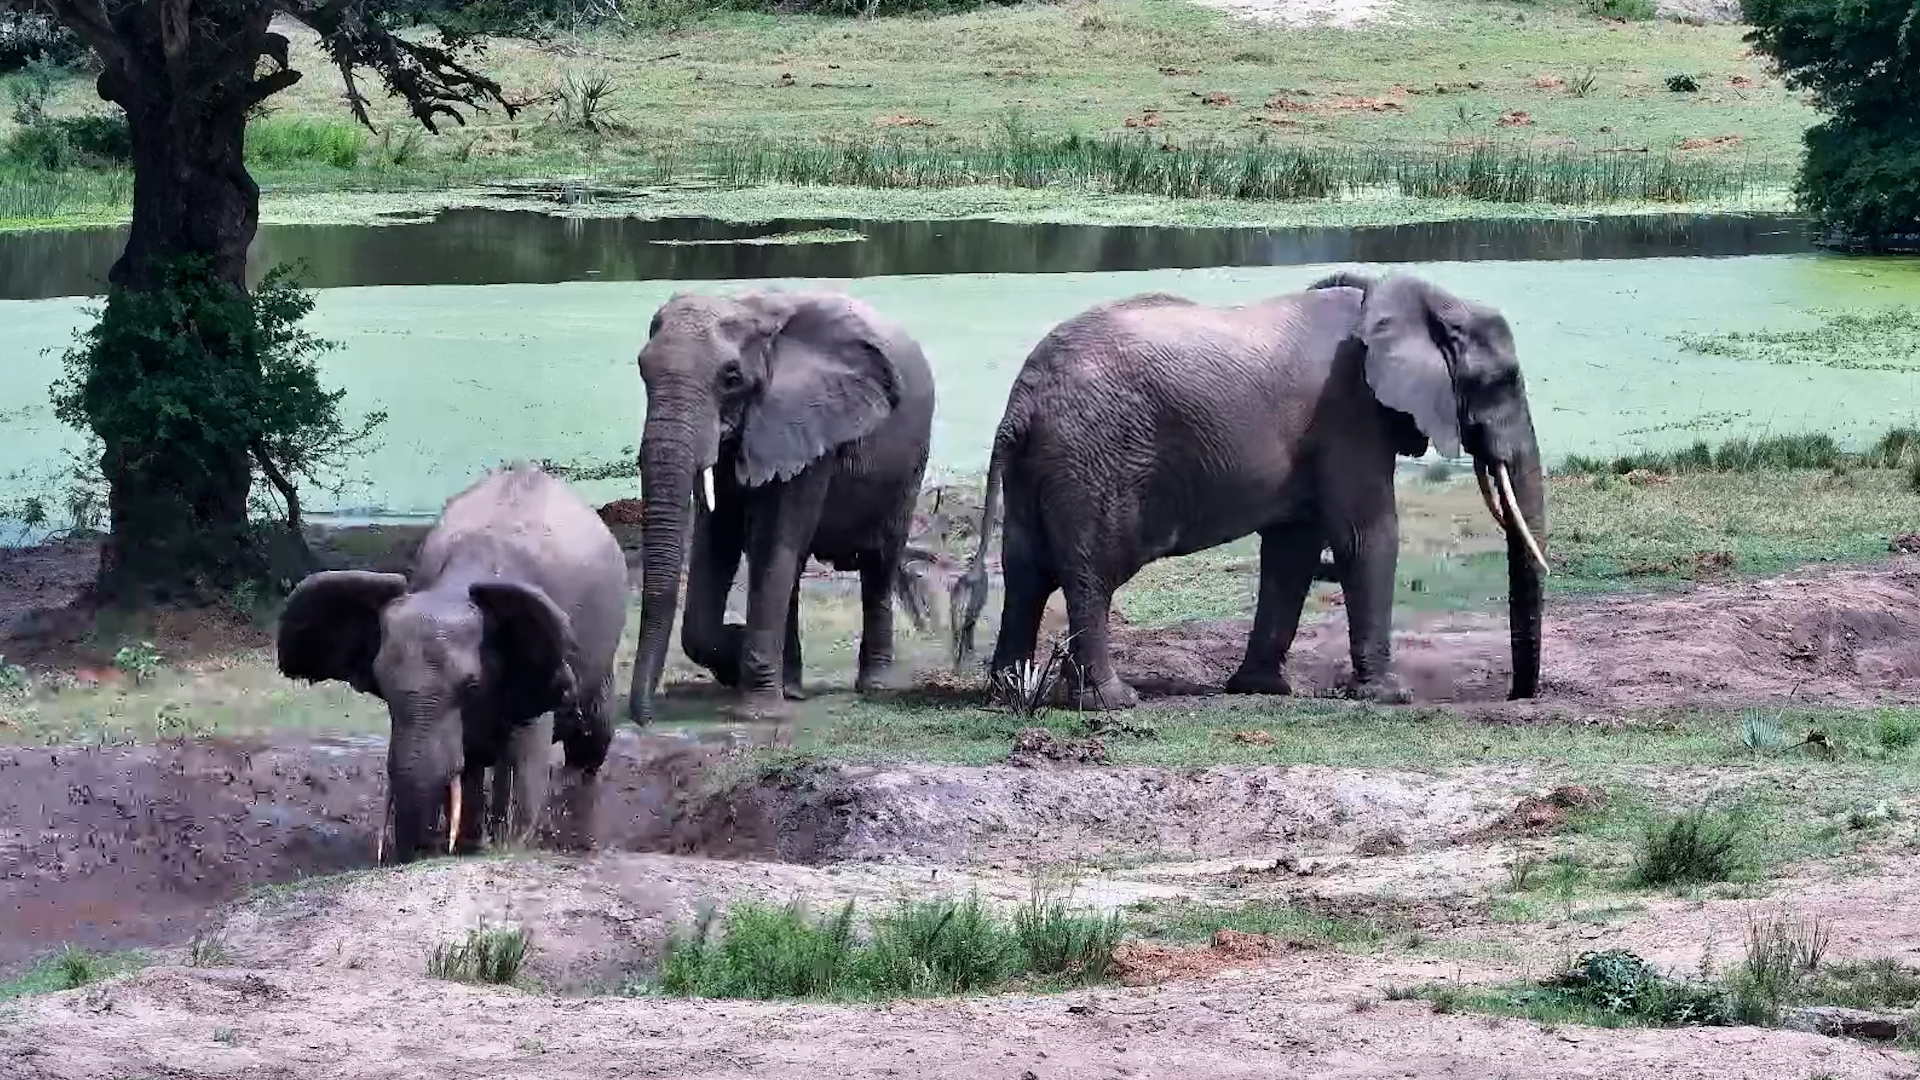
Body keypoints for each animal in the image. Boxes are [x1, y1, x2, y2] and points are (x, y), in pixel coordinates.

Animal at [275, 463, 628, 863]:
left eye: (472, 686)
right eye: (382, 688)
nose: (407, 853)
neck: (455, 588)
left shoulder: (538, 665)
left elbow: (523, 760)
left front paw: (507, 847)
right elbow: (466, 769)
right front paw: (467, 849)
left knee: (589, 746)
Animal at [627, 288, 937, 725]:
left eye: (731, 377)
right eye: (642, 369)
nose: (645, 718)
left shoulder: (806, 420)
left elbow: (771, 541)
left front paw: (755, 709)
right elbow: (718, 538)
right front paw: (737, 656)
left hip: (908, 468)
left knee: (879, 563)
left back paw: (873, 685)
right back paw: (789, 687)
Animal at [950, 270, 1548, 708]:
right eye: (1504, 381)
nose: (1517, 698)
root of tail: (1021, 403)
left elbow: (1292, 548)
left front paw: (1264, 690)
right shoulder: (1350, 413)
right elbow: (1365, 536)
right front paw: (1389, 697)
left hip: (1042, 466)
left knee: (1027, 571)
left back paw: (1008, 695)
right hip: (1093, 459)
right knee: (1090, 574)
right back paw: (1113, 703)